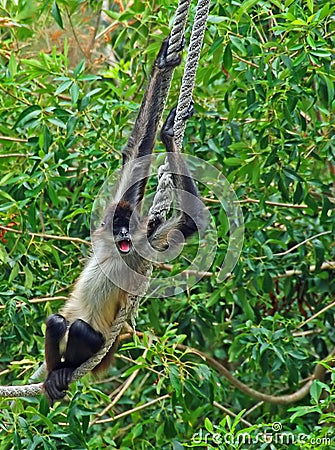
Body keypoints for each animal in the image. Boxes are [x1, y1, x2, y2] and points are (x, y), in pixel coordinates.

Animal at [44, 37, 207, 404]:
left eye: (127, 228)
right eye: (117, 227)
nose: (122, 236)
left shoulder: (146, 243)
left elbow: (190, 223)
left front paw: (169, 135)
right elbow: (134, 156)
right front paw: (162, 64)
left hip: (103, 348)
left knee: (81, 331)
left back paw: (64, 372)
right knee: (57, 321)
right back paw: (52, 375)